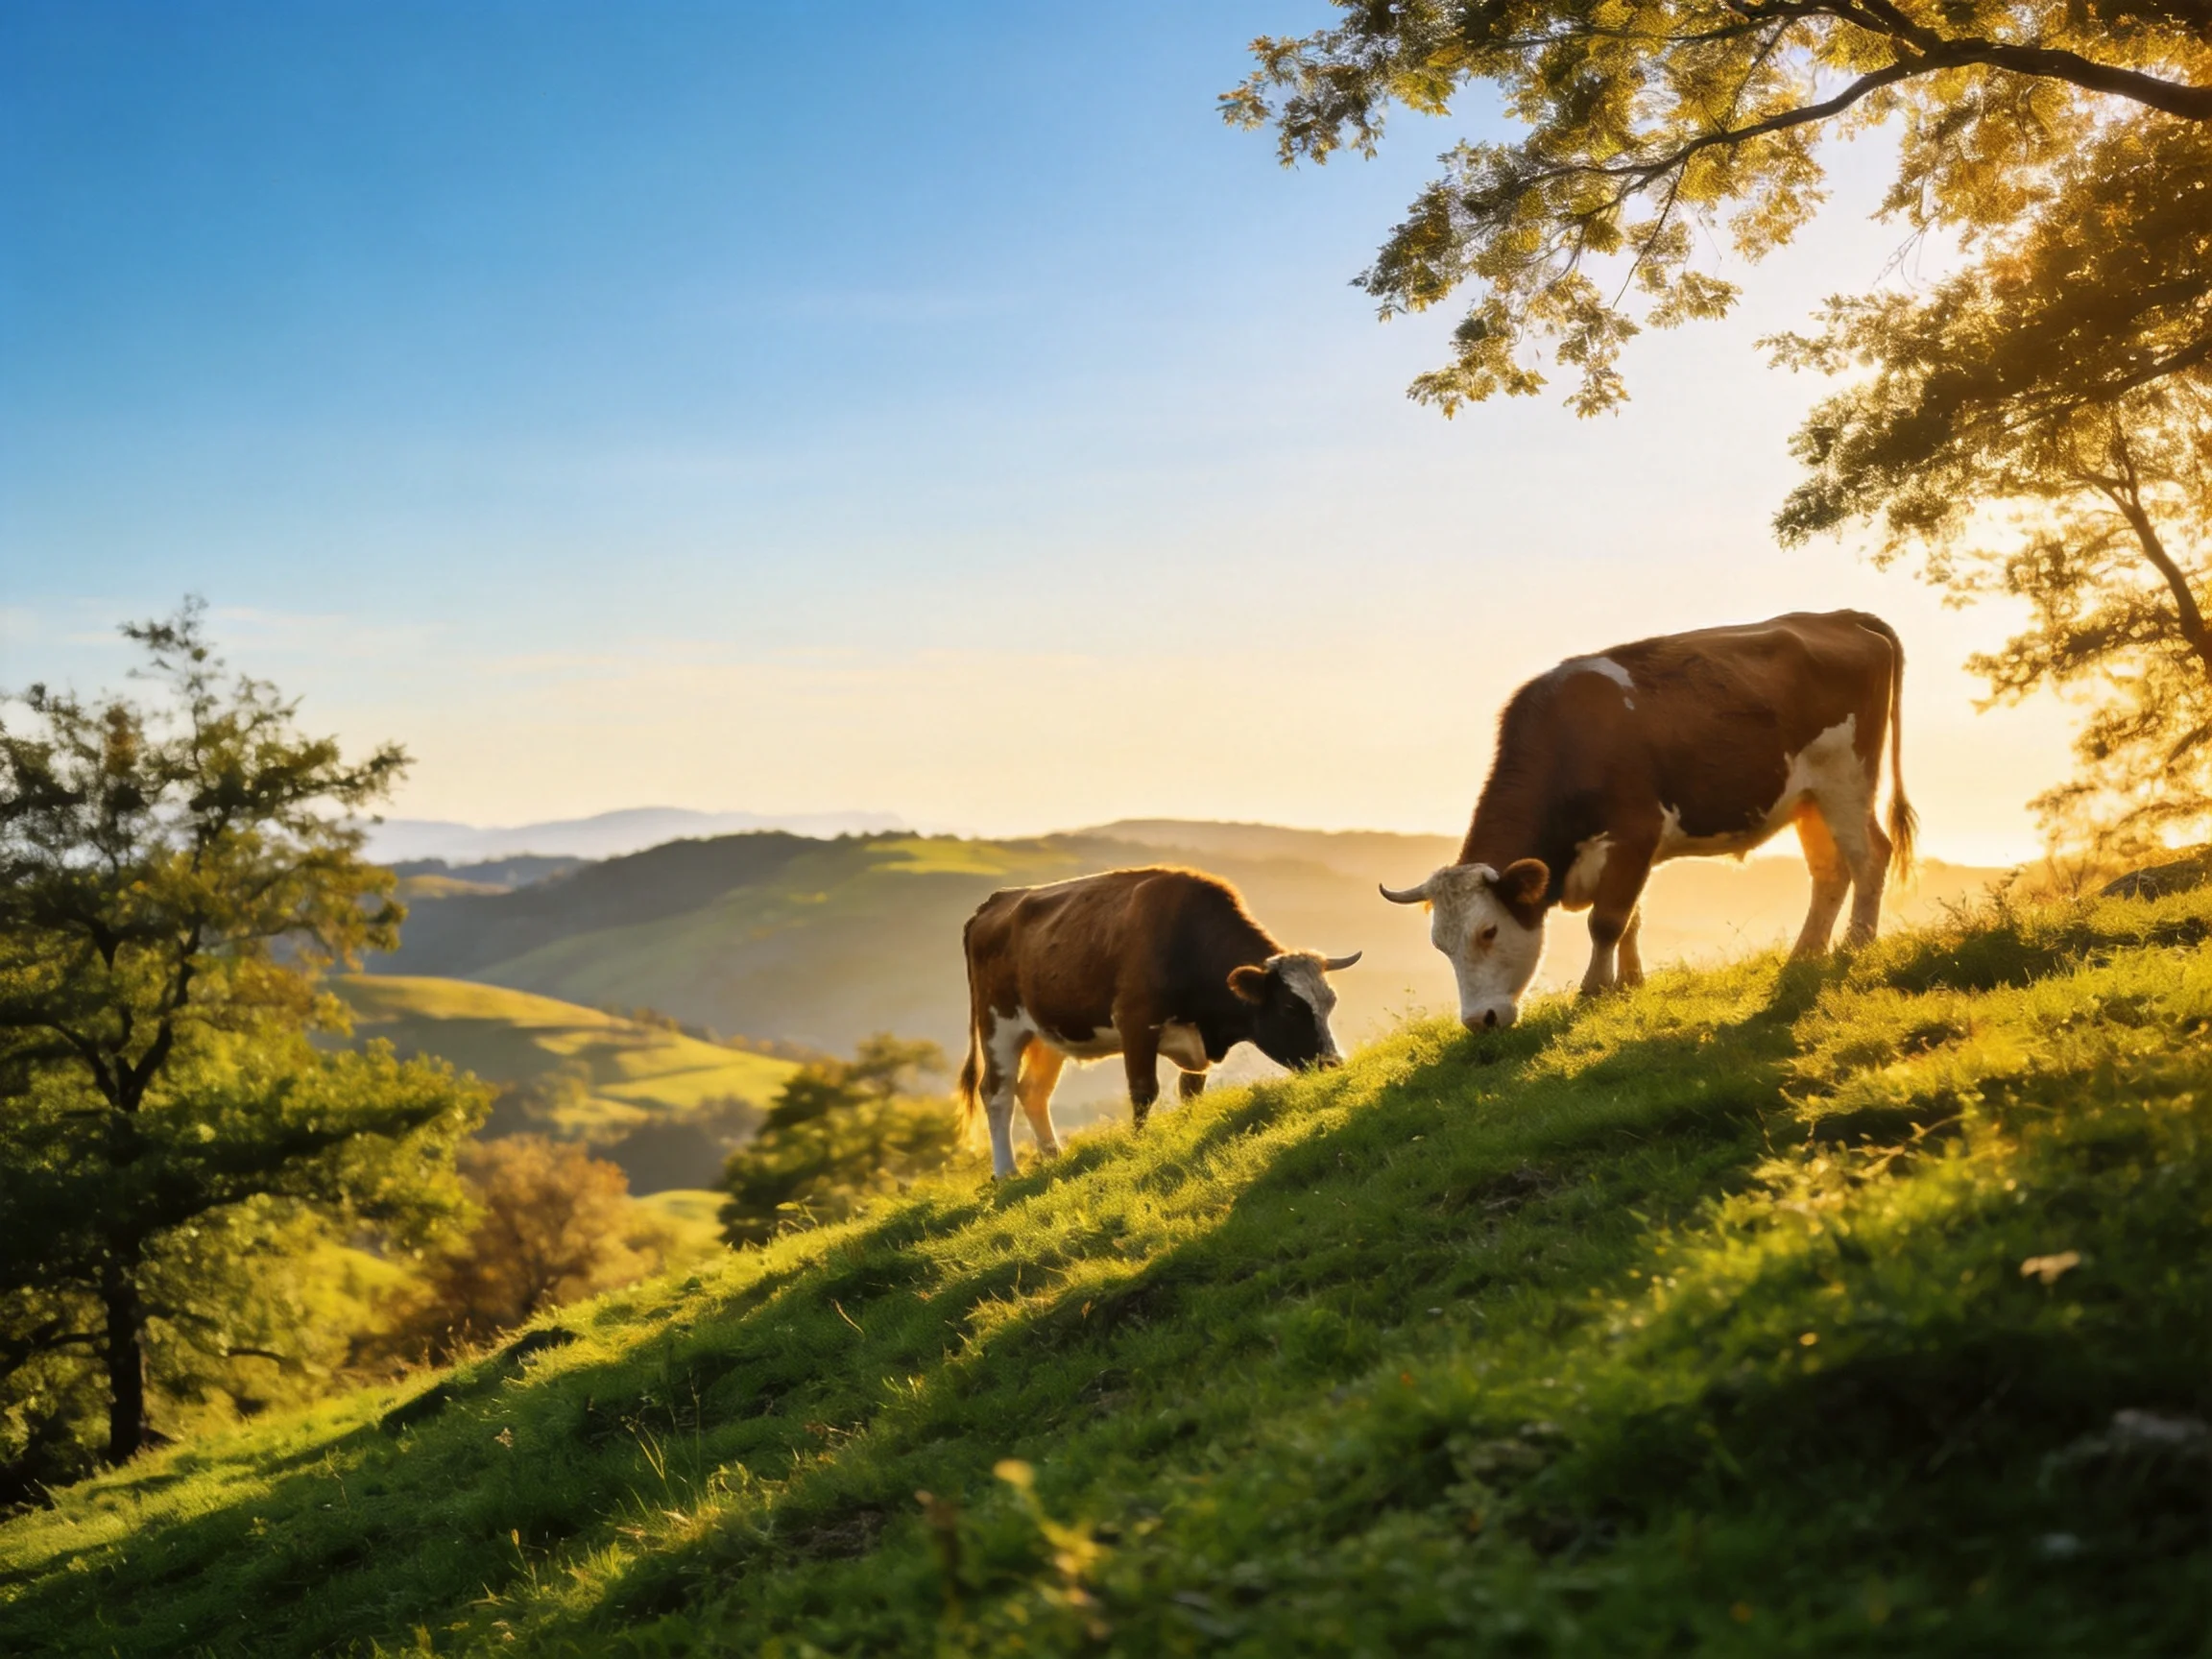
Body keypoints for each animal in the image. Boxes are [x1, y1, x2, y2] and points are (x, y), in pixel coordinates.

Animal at [957, 867, 1362, 1178]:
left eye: (1329, 1003)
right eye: (1291, 1008)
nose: (1333, 1062)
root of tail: (997, 901)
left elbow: (1191, 1090)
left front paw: (1187, 1127)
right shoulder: (1135, 1023)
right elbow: (1143, 1090)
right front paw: (1138, 1144)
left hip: (1047, 1033)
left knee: (1033, 1091)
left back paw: (1053, 1156)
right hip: (998, 1025)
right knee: (996, 1092)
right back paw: (1006, 1171)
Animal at [1381, 610, 1916, 1031]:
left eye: (1489, 932)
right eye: (1440, 944)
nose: (1479, 1021)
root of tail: (1840, 616)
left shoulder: (1633, 836)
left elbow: (1607, 921)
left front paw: (1594, 990)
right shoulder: (1629, 853)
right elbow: (1632, 918)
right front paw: (1630, 984)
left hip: (1846, 779)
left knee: (1870, 855)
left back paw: (1855, 945)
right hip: (1808, 798)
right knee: (1830, 871)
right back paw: (1805, 954)